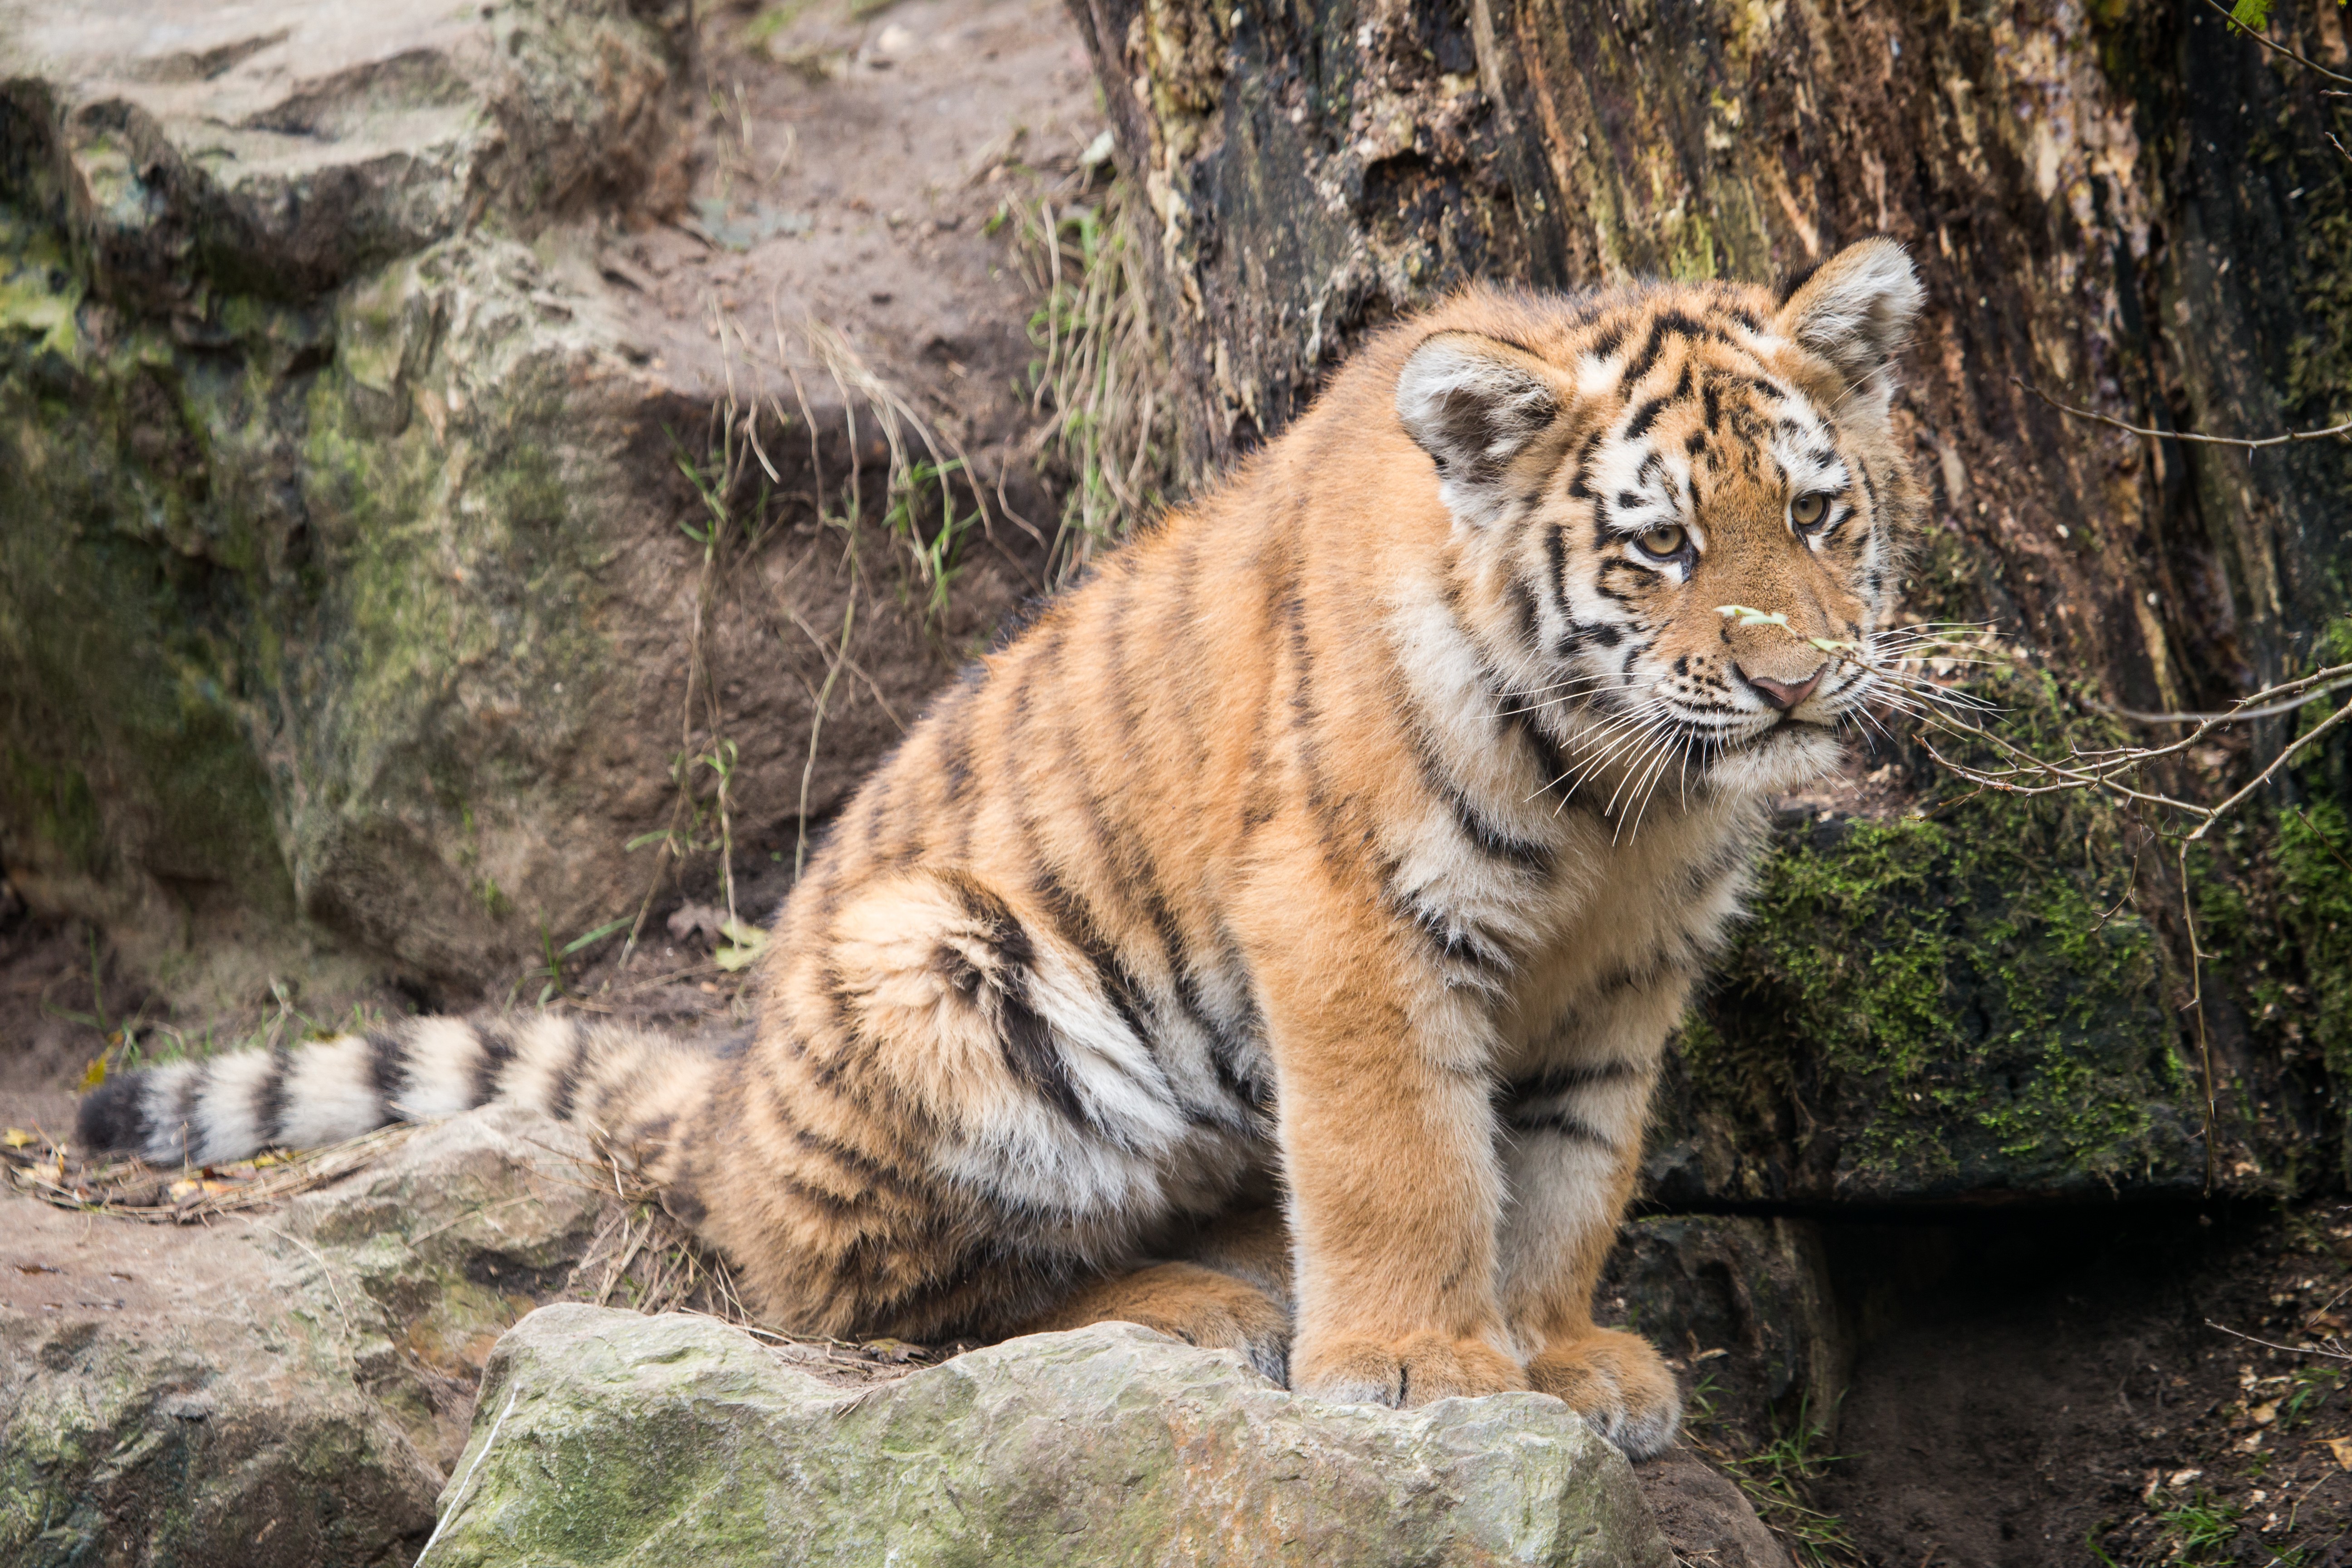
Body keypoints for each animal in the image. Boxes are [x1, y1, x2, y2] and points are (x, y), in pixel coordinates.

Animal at [78, 237, 1924, 1458]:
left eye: (1818, 514)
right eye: (1660, 547)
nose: (1796, 681)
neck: (1623, 790)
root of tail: (731, 1113)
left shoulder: (1623, 975)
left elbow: (1569, 1173)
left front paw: (1557, 1353)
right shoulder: (1346, 918)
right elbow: (1404, 1156)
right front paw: (1418, 1367)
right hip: (954, 981)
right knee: (893, 1311)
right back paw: (1218, 1312)